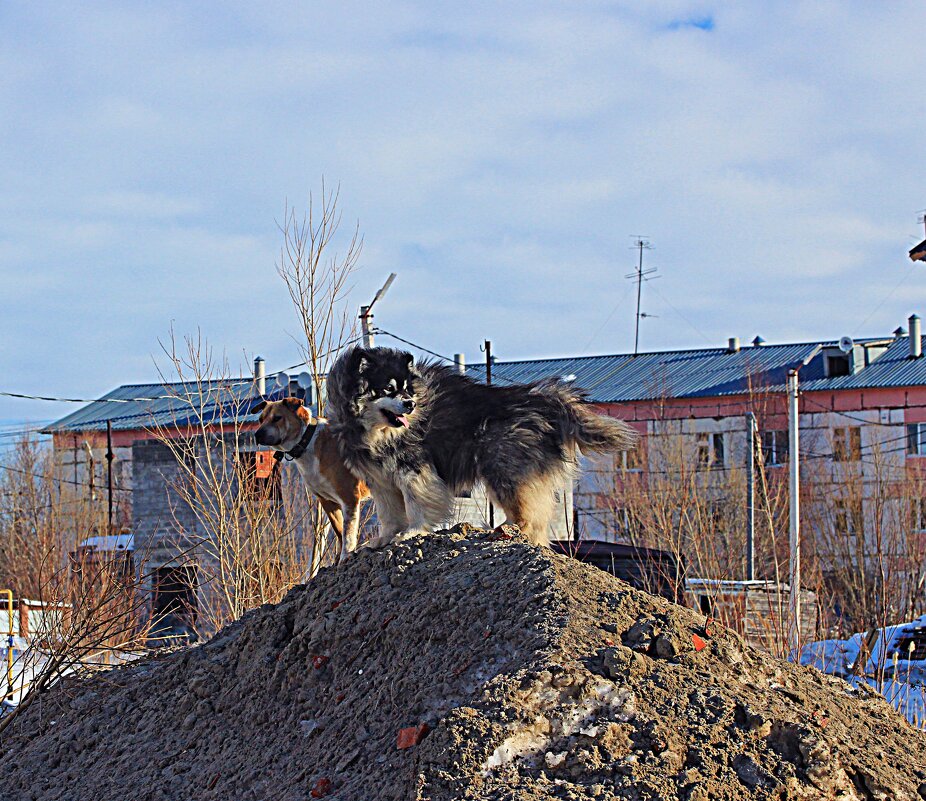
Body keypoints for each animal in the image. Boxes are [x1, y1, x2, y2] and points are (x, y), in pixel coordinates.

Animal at [256, 398, 372, 564]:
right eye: (260, 419)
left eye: (277, 418)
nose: (257, 434)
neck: (307, 442)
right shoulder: (327, 501)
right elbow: (339, 531)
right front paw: (338, 558)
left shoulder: (349, 497)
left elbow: (348, 533)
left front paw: (345, 556)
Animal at [326, 346, 640, 548]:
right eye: (389, 389)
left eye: (407, 389)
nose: (411, 404)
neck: (378, 432)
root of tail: (542, 401)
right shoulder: (381, 480)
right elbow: (389, 514)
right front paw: (383, 539)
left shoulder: (414, 471)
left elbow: (416, 507)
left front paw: (411, 533)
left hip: (503, 469)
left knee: (528, 518)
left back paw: (509, 533)